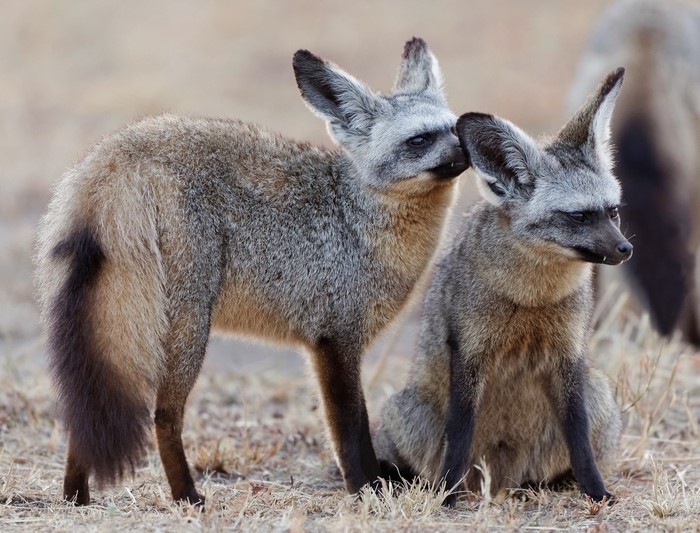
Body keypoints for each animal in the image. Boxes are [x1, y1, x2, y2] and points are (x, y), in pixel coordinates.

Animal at [34, 37, 468, 506]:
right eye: (419, 140)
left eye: (455, 129)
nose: (469, 150)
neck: (356, 217)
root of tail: (117, 157)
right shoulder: (335, 341)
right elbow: (350, 432)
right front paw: (367, 491)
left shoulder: (324, 343)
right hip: (186, 331)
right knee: (163, 416)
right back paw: (187, 496)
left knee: (90, 414)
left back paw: (76, 496)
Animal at [373, 68, 629, 507]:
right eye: (578, 217)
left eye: (612, 212)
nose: (626, 249)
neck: (532, 299)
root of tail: (506, 478)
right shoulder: (470, 353)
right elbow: (459, 437)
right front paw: (446, 496)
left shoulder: (568, 355)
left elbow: (580, 441)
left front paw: (596, 492)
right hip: (408, 413)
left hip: (599, 395)